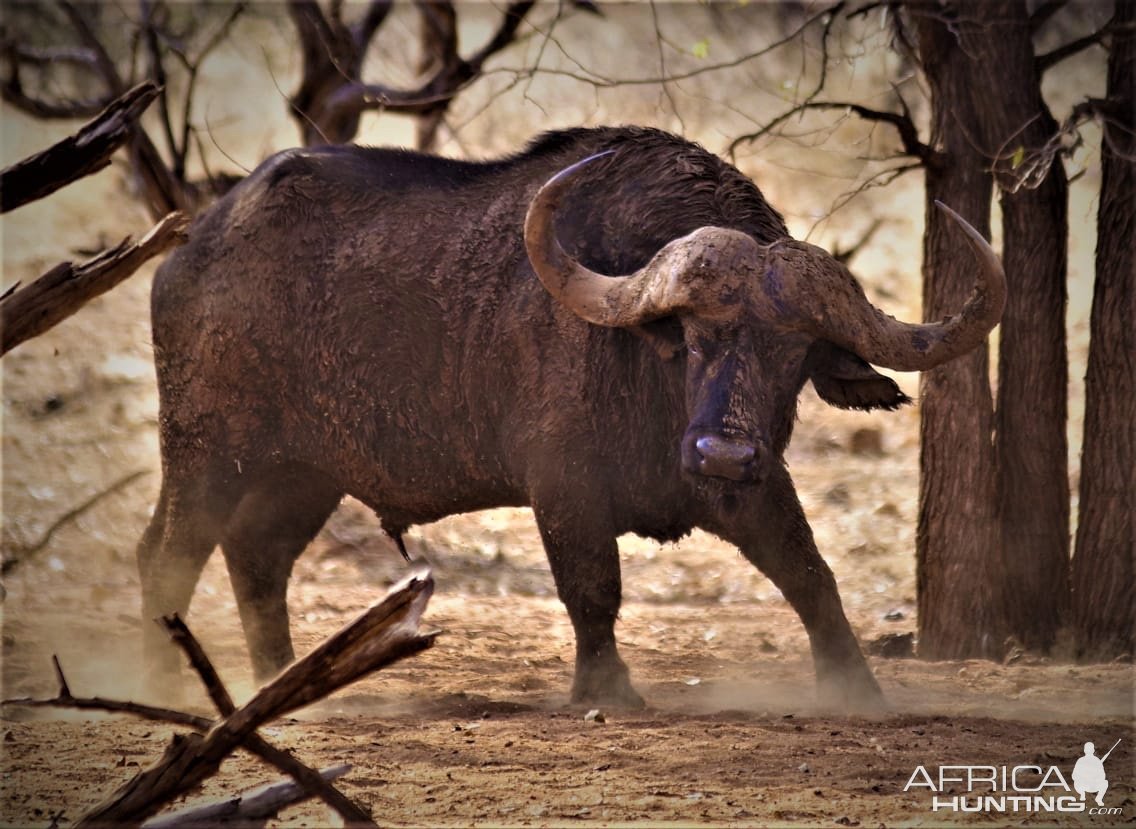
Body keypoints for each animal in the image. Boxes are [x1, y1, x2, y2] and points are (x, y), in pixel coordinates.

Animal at [139, 126, 1004, 708]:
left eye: (794, 356)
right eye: (693, 336)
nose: (722, 452)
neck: (647, 382)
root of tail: (193, 250)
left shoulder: (752, 487)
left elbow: (810, 575)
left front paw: (854, 686)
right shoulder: (564, 490)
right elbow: (594, 587)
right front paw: (607, 688)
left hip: (303, 473)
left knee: (258, 556)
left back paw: (282, 683)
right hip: (206, 450)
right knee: (168, 552)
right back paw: (171, 685)